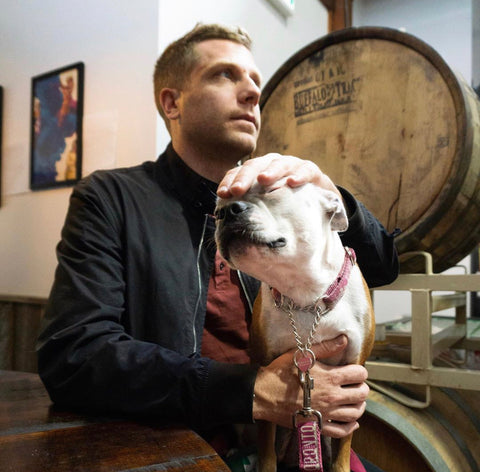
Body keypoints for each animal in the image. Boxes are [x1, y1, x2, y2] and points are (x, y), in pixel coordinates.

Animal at [214, 179, 376, 472]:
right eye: (217, 206)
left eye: (273, 188)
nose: (225, 212)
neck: (305, 298)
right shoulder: (265, 372)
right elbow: (266, 448)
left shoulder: (353, 376)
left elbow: (342, 452)